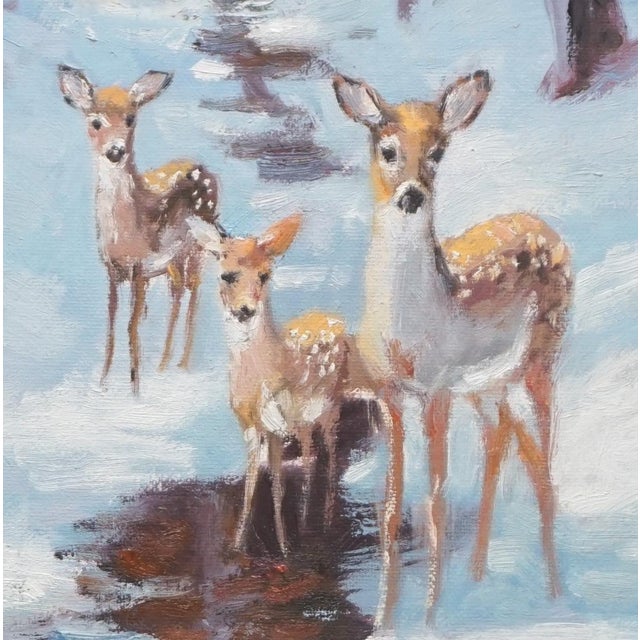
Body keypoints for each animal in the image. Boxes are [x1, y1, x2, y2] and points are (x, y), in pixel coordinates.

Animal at [58, 66, 223, 394]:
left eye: (131, 119)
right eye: (95, 121)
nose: (115, 151)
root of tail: (202, 165)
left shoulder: (138, 267)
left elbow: (131, 326)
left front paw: (134, 388)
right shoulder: (113, 269)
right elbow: (111, 323)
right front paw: (103, 383)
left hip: (197, 246)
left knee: (194, 293)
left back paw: (182, 366)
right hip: (171, 262)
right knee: (177, 292)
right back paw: (164, 366)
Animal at [189, 213, 377, 555]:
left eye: (265, 275)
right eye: (226, 275)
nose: (245, 310)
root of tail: (331, 317)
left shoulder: (278, 426)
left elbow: (276, 484)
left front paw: (285, 547)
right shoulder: (252, 426)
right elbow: (252, 482)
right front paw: (239, 545)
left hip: (331, 406)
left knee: (329, 456)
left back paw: (324, 521)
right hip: (304, 420)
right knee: (311, 456)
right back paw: (304, 518)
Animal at [333, 70, 573, 630]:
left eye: (438, 152)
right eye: (387, 149)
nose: (411, 196)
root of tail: (546, 226)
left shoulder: (436, 387)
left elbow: (435, 504)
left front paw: (428, 620)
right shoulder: (391, 393)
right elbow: (391, 507)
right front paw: (384, 620)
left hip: (543, 355)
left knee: (545, 467)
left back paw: (555, 595)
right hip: (488, 387)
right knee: (503, 442)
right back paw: (481, 577)